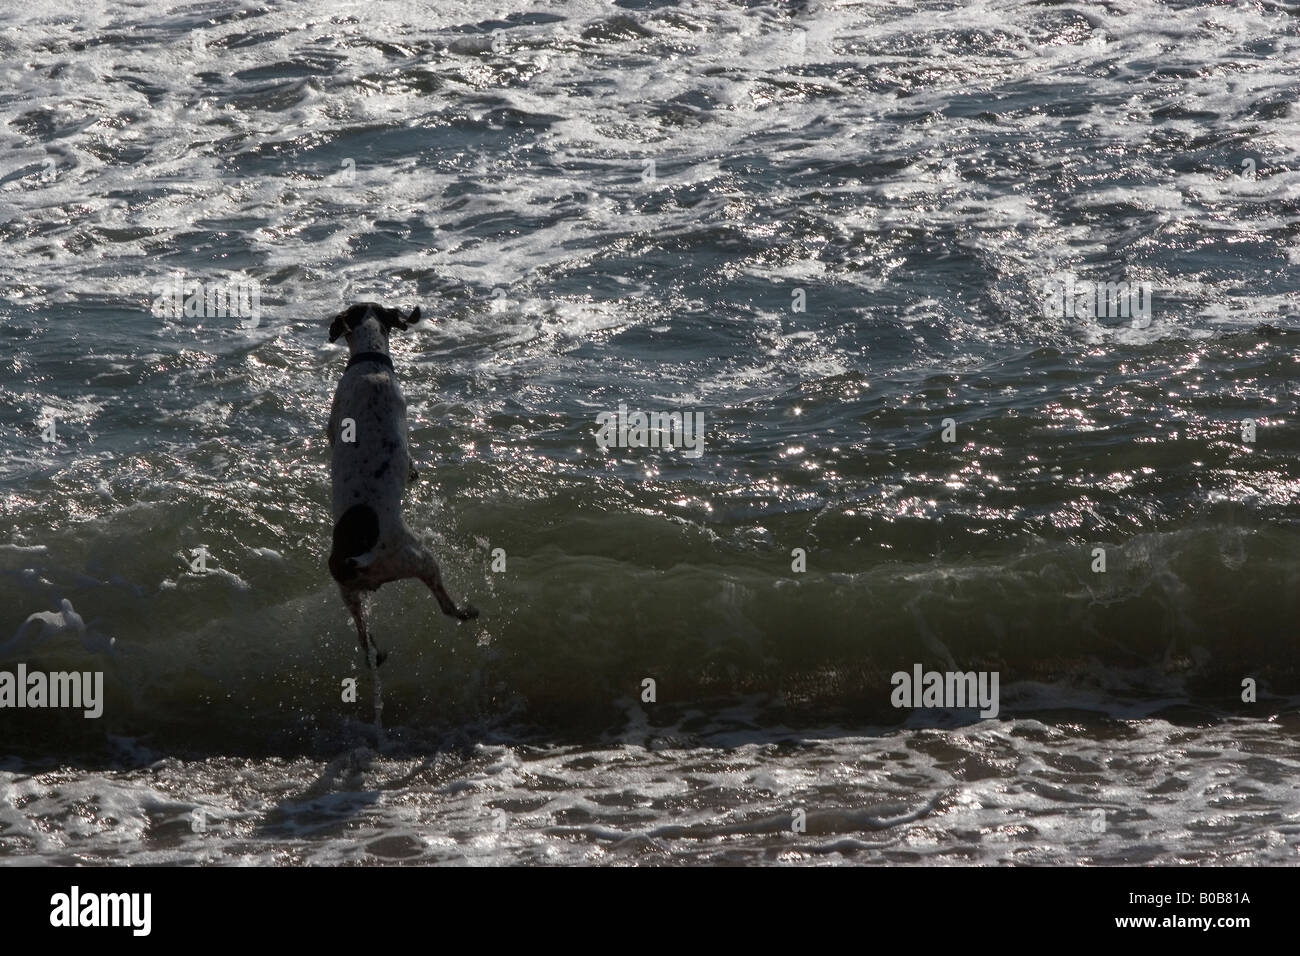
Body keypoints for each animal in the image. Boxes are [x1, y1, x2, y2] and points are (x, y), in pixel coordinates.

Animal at [327, 303, 480, 671]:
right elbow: (411, 464)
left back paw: (376, 653)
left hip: (349, 596)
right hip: (421, 560)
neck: (369, 363)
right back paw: (466, 611)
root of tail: (359, 557)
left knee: (363, 638)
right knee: (446, 606)